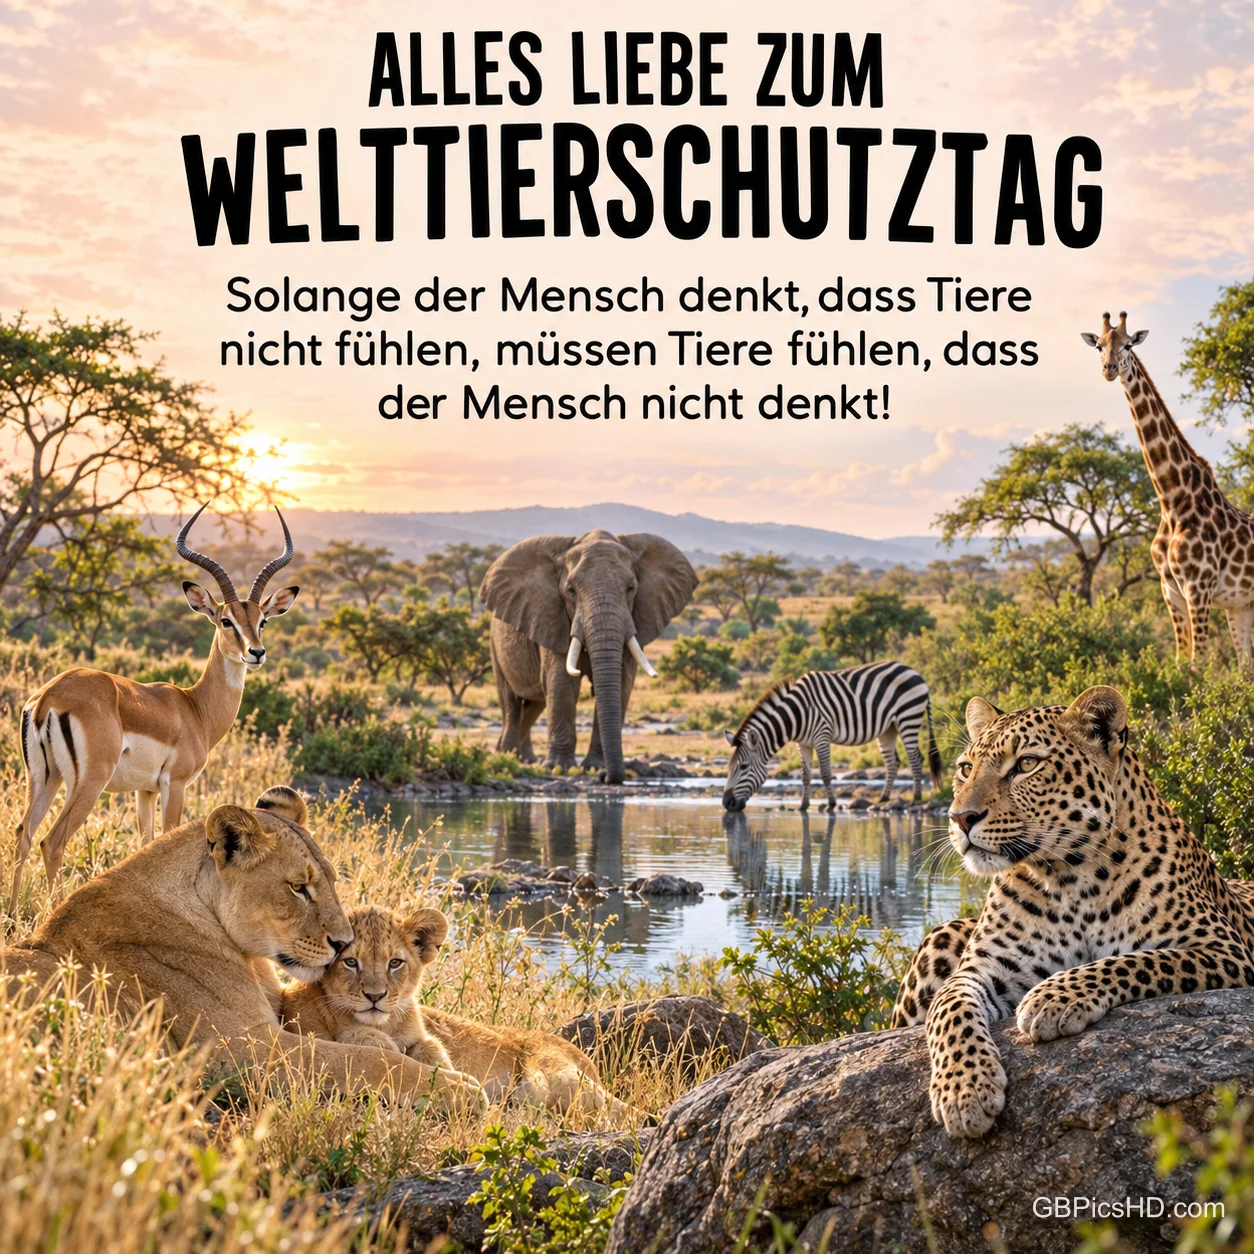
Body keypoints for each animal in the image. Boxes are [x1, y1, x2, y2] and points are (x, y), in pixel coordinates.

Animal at [479, 531, 697, 785]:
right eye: (571, 591)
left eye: (631, 588)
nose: (606, 777)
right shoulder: (553, 618)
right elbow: (562, 683)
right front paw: (559, 768)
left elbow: (621, 683)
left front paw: (594, 767)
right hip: (494, 643)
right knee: (511, 702)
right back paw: (506, 758)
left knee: (535, 704)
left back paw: (525, 760)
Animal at [721, 662, 942, 812]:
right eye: (729, 767)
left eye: (743, 767)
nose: (726, 803)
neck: (798, 714)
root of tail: (916, 673)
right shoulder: (803, 744)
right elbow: (805, 774)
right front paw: (803, 805)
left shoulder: (822, 735)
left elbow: (826, 772)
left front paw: (831, 803)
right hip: (889, 728)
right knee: (892, 762)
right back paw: (883, 798)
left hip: (908, 717)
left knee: (915, 758)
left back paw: (915, 798)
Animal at [1081, 310, 1254, 665]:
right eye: (1100, 345)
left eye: (1129, 344)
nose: (1109, 369)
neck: (1172, 499)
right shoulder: (1170, 590)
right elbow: (1180, 664)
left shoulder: (1198, 588)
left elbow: (1198, 665)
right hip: (1241, 606)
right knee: (1246, 665)